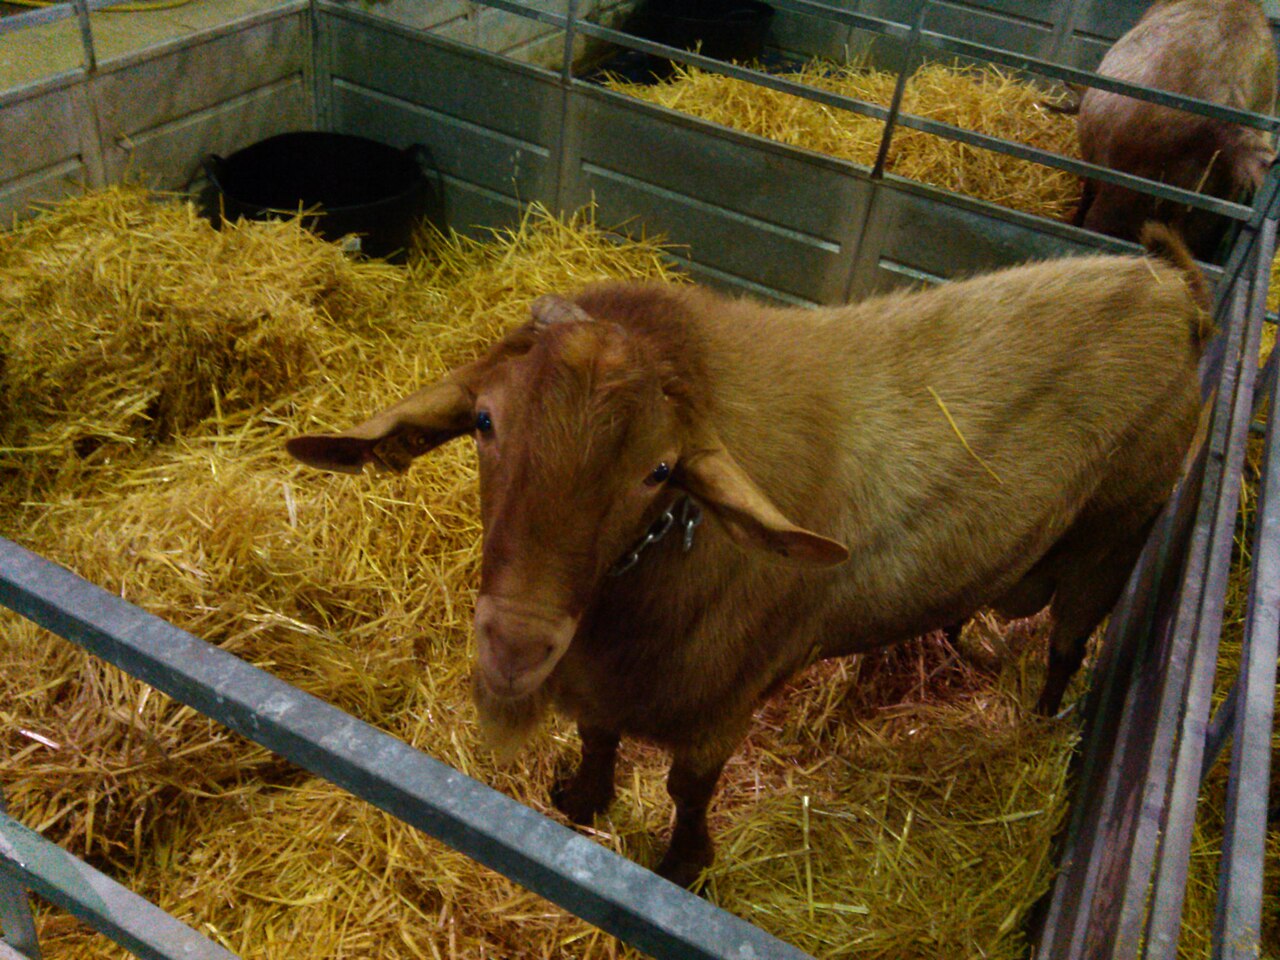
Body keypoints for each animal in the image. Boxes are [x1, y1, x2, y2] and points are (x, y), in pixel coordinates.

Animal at [287, 225, 1209, 887]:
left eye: (660, 470)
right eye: (484, 421)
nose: (515, 646)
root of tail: (1173, 289)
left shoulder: (721, 705)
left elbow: (687, 794)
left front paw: (681, 866)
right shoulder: (603, 681)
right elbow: (596, 738)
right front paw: (581, 800)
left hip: (1116, 531)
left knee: (1068, 643)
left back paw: (1040, 719)